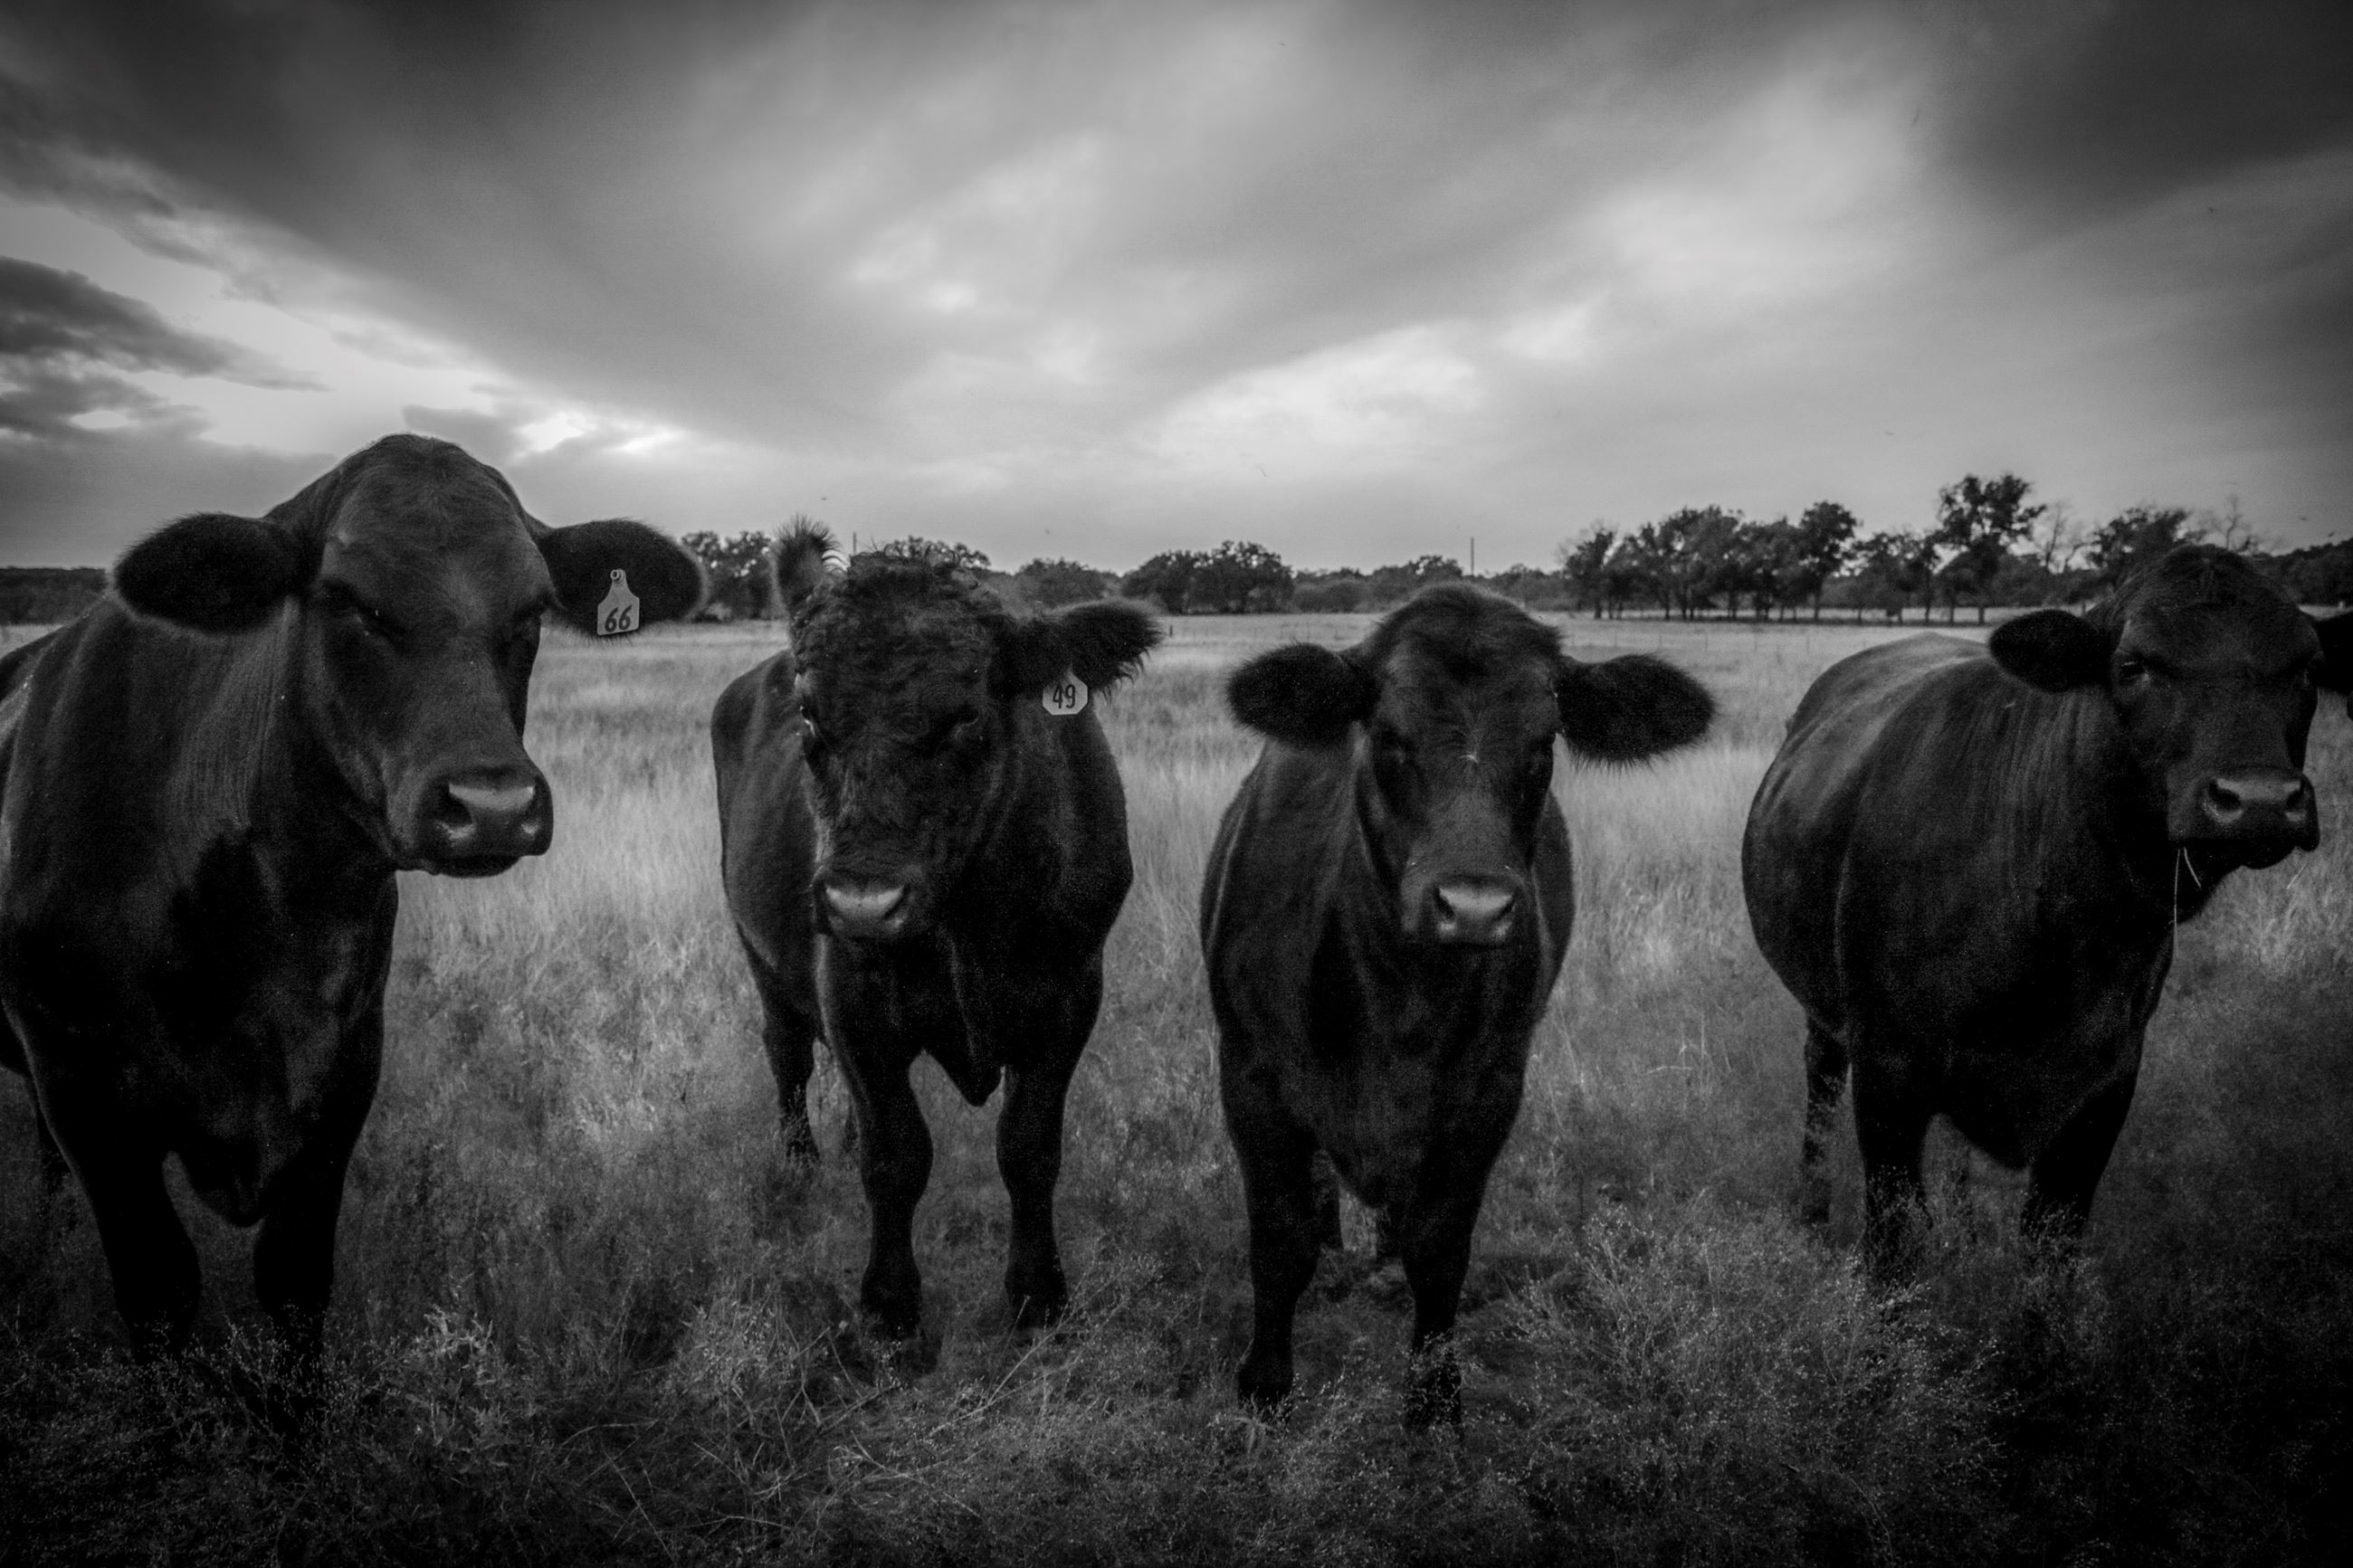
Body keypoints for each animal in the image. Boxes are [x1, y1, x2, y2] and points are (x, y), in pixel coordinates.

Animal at [0, 434, 702, 1360]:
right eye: (349, 602)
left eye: (532, 612)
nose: (492, 805)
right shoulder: (82, 1090)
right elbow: (159, 1291)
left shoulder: (344, 1082)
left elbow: (296, 1287)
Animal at [711, 524, 1160, 1340]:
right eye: (810, 717)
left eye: (967, 715)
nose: (864, 903)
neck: (967, 914)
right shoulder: (850, 994)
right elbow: (896, 1155)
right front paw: (890, 1307)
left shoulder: (1070, 996)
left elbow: (1029, 1146)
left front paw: (1038, 1294)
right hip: (758, 953)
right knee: (787, 1055)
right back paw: (800, 1164)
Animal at [1200, 584, 1715, 1424]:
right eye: (1388, 734)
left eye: (1543, 742)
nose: (1473, 906)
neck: (1396, 1001)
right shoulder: (1251, 1073)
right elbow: (1279, 1238)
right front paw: (1266, 1383)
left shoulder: (1490, 1091)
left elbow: (1440, 1248)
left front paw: (1435, 1398)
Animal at [1743, 545, 2346, 1275]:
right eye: (2133, 666)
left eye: (2308, 667)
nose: (2258, 799)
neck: (2053, 939)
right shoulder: (1888, 1069)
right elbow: (1893, 1238)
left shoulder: (2105, 1088)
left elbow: (2050, 1252)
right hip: (1826, 1017)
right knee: (1820, 1083)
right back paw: (1810, 1208)